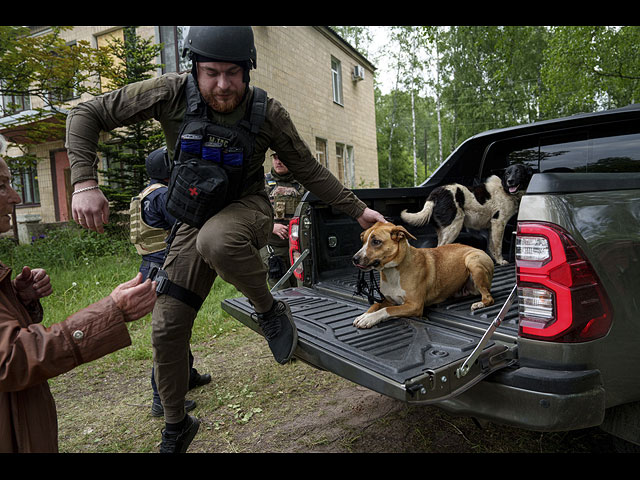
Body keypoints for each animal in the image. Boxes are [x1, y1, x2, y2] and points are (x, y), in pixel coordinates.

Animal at [350, 222, 496, 328]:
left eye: (376, 242)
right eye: (363, 241)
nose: (354, 259)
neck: (393, 271)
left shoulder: (414, 306)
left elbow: (387, 310)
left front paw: (370, 318)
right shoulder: (389, 300)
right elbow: (375, 305)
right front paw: (364, 315)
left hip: (473, 262)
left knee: (489, 297)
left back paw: (479, 304)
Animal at [402, 165, 532, 266]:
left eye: (518, 172)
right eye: (507, 173)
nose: (510, 181)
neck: (504, 189)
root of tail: (435, 193)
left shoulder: (492, 225)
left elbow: (491, 245)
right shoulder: (499, 222)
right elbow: (498, 246)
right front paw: (500, 261)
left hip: (444, 229)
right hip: (454, 227)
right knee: (441, 247)